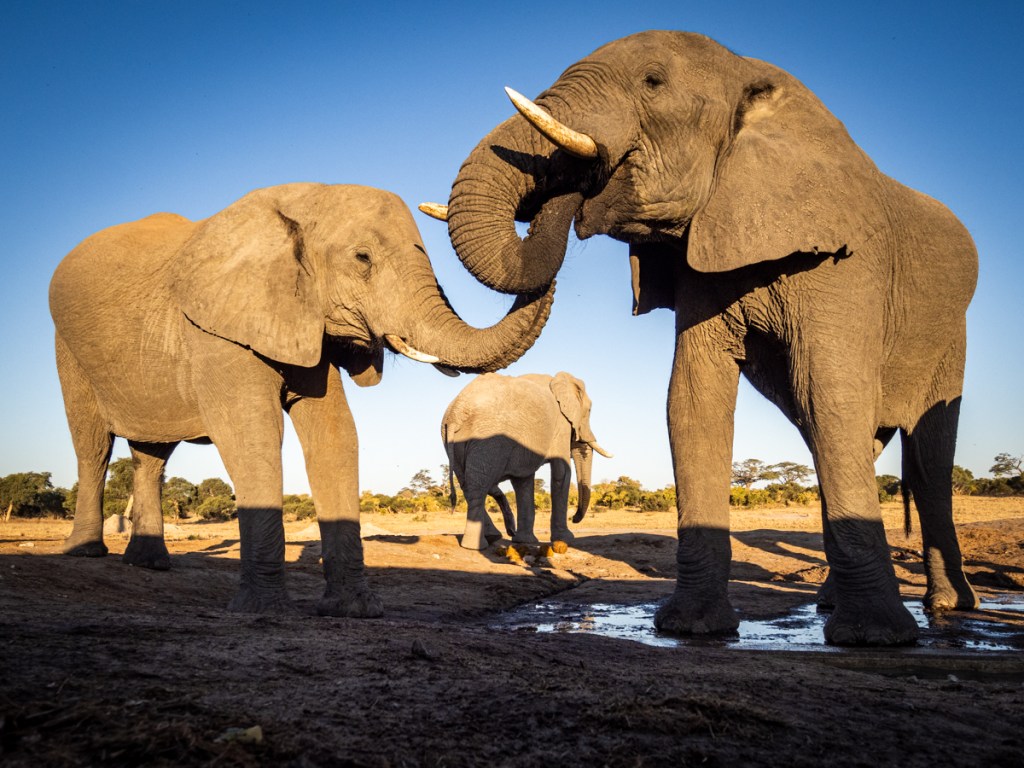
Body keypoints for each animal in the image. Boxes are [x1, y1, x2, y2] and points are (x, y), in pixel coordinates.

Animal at [50, 182, 554, 616]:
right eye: (363, 258)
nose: (544, 209)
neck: (299, 204)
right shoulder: (218, 329)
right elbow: (253, 436)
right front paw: (262, 610)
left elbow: (334, 435)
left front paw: (354, 611)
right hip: (69, 348)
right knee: (92, 444)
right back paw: (86, 552)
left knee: (151, 454)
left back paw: (149, 563)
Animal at [441, 372, 611, 550]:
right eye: (589, 410)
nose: (574, 518)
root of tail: (456, 413)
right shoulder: (561, 424)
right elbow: (562, 472)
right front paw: (566, 538)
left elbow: (523, 481)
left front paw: (524, 541)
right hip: (487, 437)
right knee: (478, 485)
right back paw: (476, 546)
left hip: (455, 442)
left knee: (468, 485)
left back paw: (493, 536)